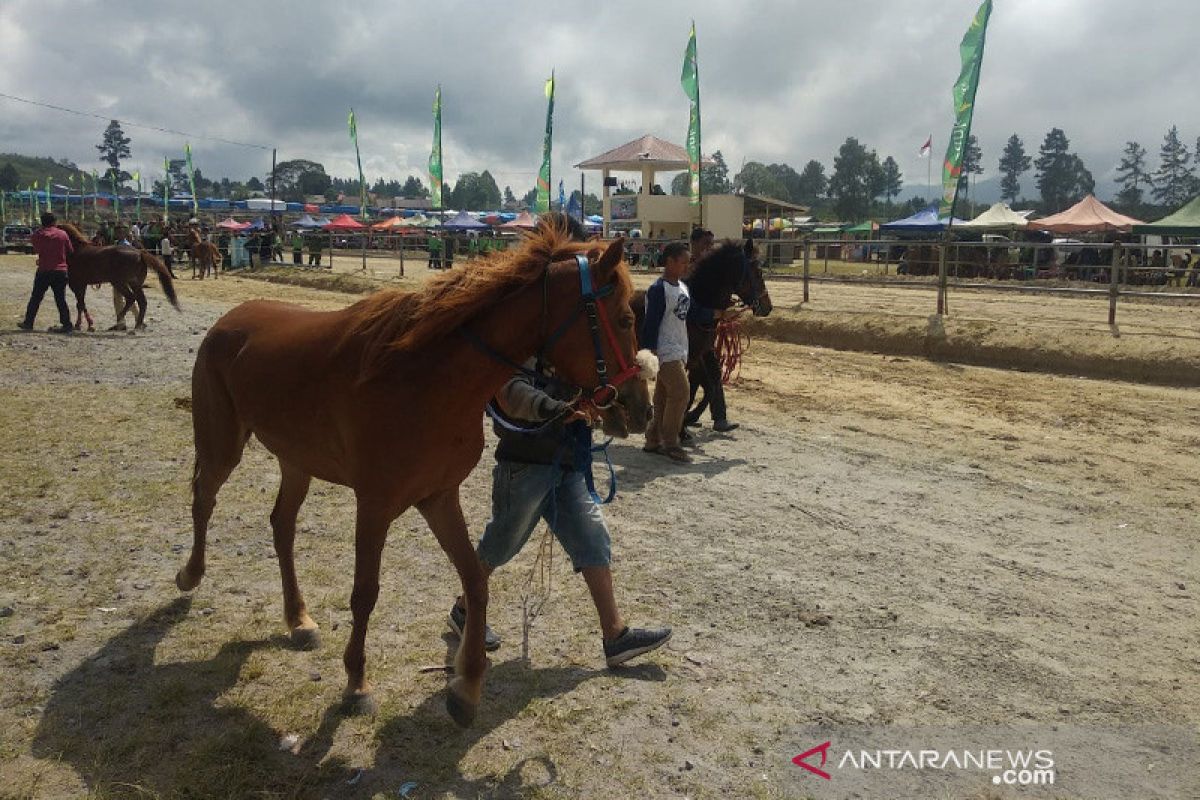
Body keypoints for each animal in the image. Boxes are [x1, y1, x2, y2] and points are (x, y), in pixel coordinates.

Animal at [174, 224, 652, 724]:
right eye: (623, 319)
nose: (641, 407)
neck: (425, 378)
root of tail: (230, 319)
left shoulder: (439, 497)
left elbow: (475, 580)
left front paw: (467, 685)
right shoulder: (375, 504)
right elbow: (365, 593)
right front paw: (356, 683)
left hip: (296, 462)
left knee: (281, 526)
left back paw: (299, 620)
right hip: (222, 445)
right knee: (203, 499)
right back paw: (190, 575)